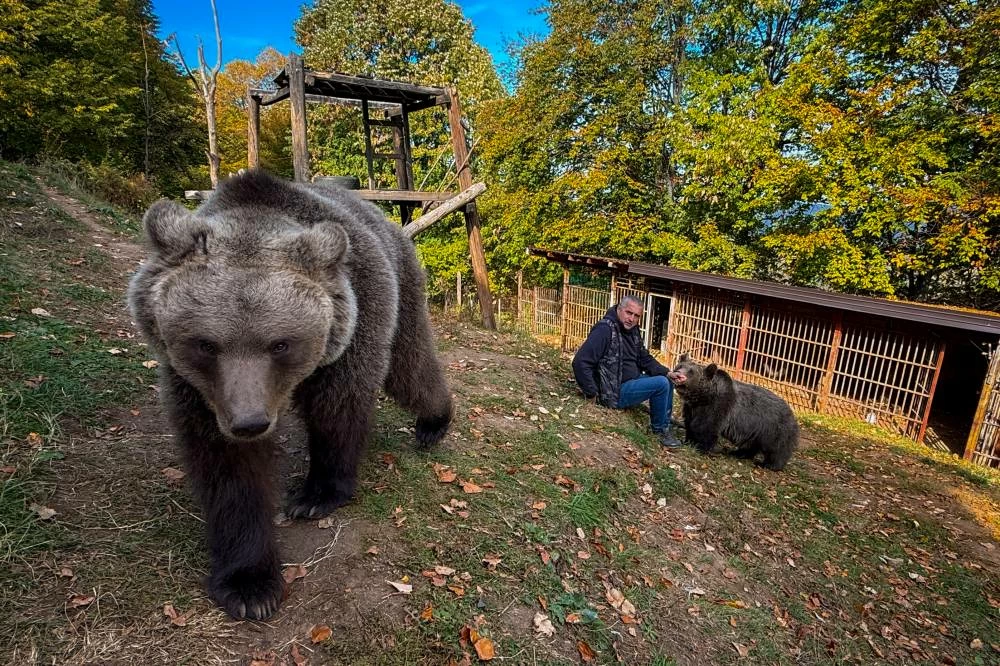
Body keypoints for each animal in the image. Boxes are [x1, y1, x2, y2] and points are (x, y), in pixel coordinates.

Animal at [127, 169, 453, 620]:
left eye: (280, 344)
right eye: (205, 344)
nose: (249, 422)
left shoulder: (354, 326)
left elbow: (337, 411)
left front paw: (315, 496)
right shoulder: (200, 391)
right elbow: (229, 470)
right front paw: (250, 585)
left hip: (403, 286)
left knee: (409, 364)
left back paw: (434, 422)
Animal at [668, 354, 797, 471]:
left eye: (691, 372)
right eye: (680, 366)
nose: (677, 374)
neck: (702, 397)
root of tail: (792, 414)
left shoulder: (718, 407)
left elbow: (706, 428)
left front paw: (701, 447)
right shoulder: (691, 408)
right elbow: (690, 424)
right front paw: (688, 441)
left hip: (774, 428)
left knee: (777, 449)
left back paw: (769, 465)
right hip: (756, 430)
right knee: (751, 445)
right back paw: (738, 453)